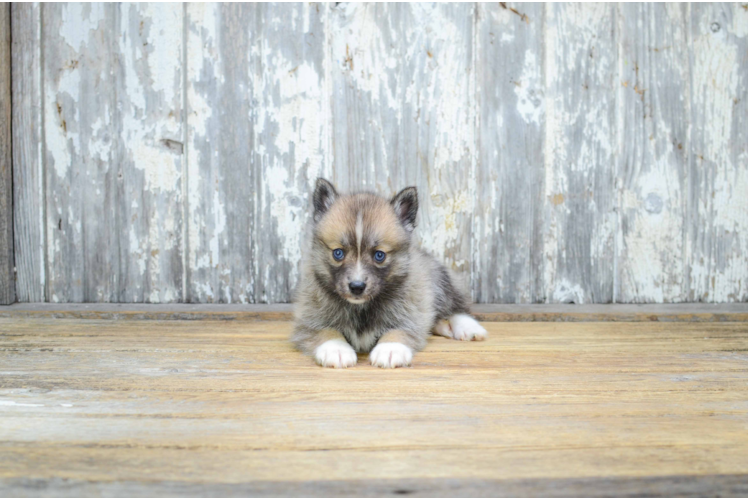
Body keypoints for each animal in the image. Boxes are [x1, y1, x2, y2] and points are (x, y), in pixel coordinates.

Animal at [292, 180, 486, 368]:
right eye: (338, 253)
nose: (357, 287)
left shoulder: (410, 313)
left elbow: (398, 330)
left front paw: (390, 349)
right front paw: (336, 350)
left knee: (455, 308)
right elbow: (326, 331)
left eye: (379, 255)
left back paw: (468, 328)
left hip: (440, 280)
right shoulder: (308, 319)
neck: (360, 308)